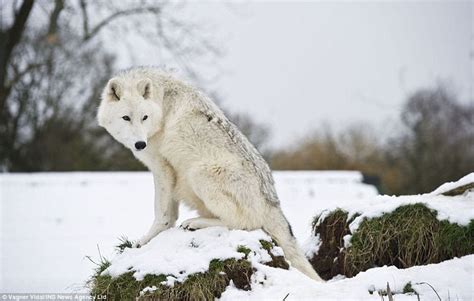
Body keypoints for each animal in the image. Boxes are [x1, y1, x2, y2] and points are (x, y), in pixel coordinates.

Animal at [98, 66, 324, 282]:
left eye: (144, 117)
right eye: (126, 118)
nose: (140, 144)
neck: (162, 103)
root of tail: (273, 202)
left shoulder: (162, 168)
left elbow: (161, 214)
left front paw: (145, 241)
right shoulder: (167, 172)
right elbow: (170, 216)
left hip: (199, 173)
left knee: (243, 224)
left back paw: (194, 223)